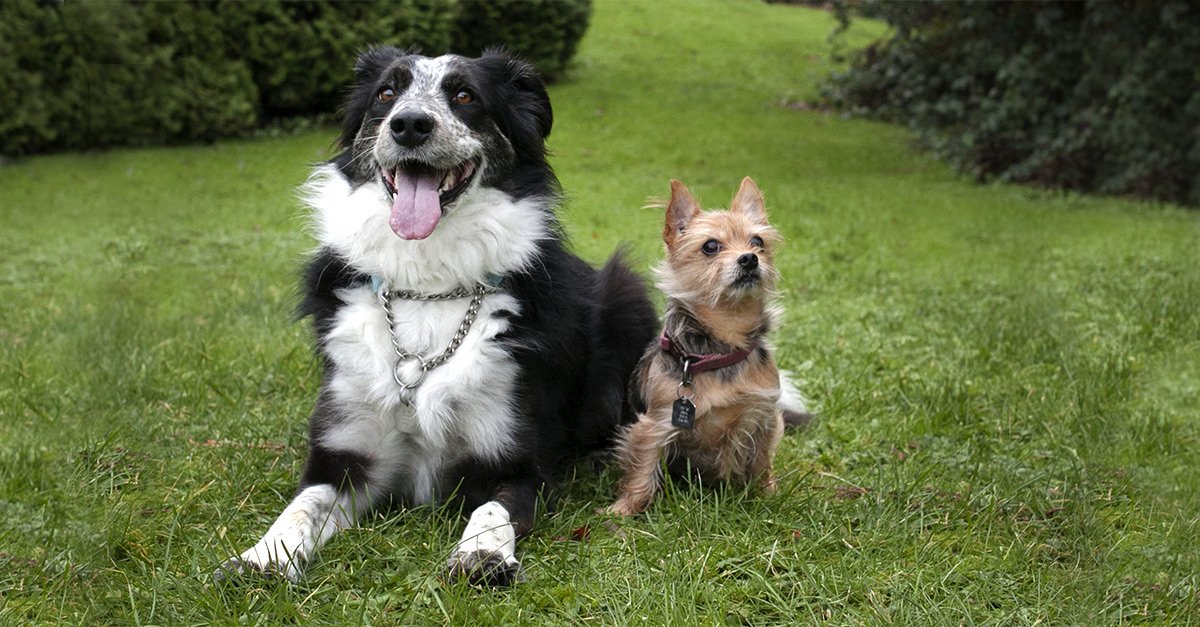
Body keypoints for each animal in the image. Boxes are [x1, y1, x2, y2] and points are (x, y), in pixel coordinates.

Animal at [216, 48, 657, 586]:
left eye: (465, 95)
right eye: (387, 92)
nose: (409, 125)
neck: (428, 287)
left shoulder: (515, 464)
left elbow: (492, 509)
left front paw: (483, 555)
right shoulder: (346, 458)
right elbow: (301, 505)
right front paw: (263, 557)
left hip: (626, 293)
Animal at [609, 177, 806, 514]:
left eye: (757, 242)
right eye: (711, 246)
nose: (750, 258)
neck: (722, 345)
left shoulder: (764, 416)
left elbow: (761, 462)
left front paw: (766, 494)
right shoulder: (655, 424)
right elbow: (642, 470)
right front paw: (624, 509)